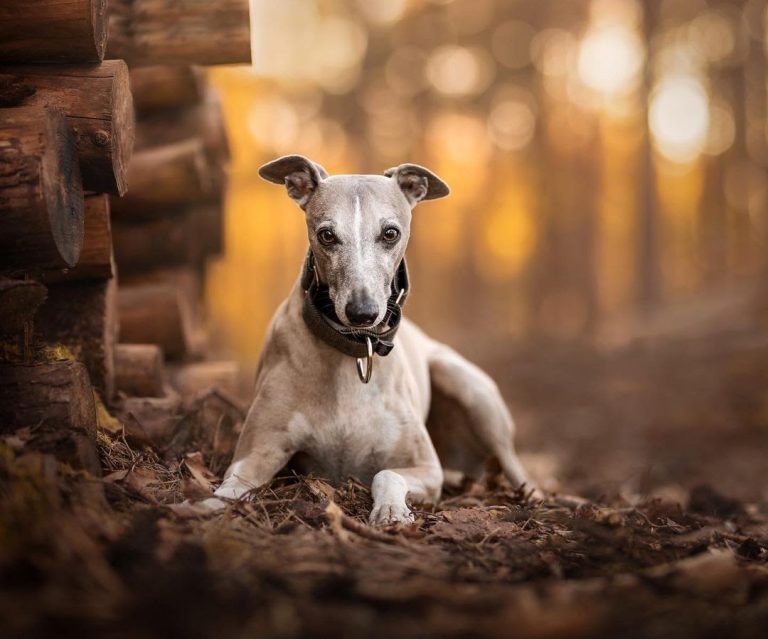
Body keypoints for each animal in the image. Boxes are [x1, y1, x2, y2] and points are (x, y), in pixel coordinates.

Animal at [210, 156, 536, 524]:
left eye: (390, 233)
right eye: (326, 235)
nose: (362, 313)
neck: (353, 350)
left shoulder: (426, 468)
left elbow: (387, 473)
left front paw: (392, 510)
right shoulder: (256, 453)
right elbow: (232, 486)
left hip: (470, 390)